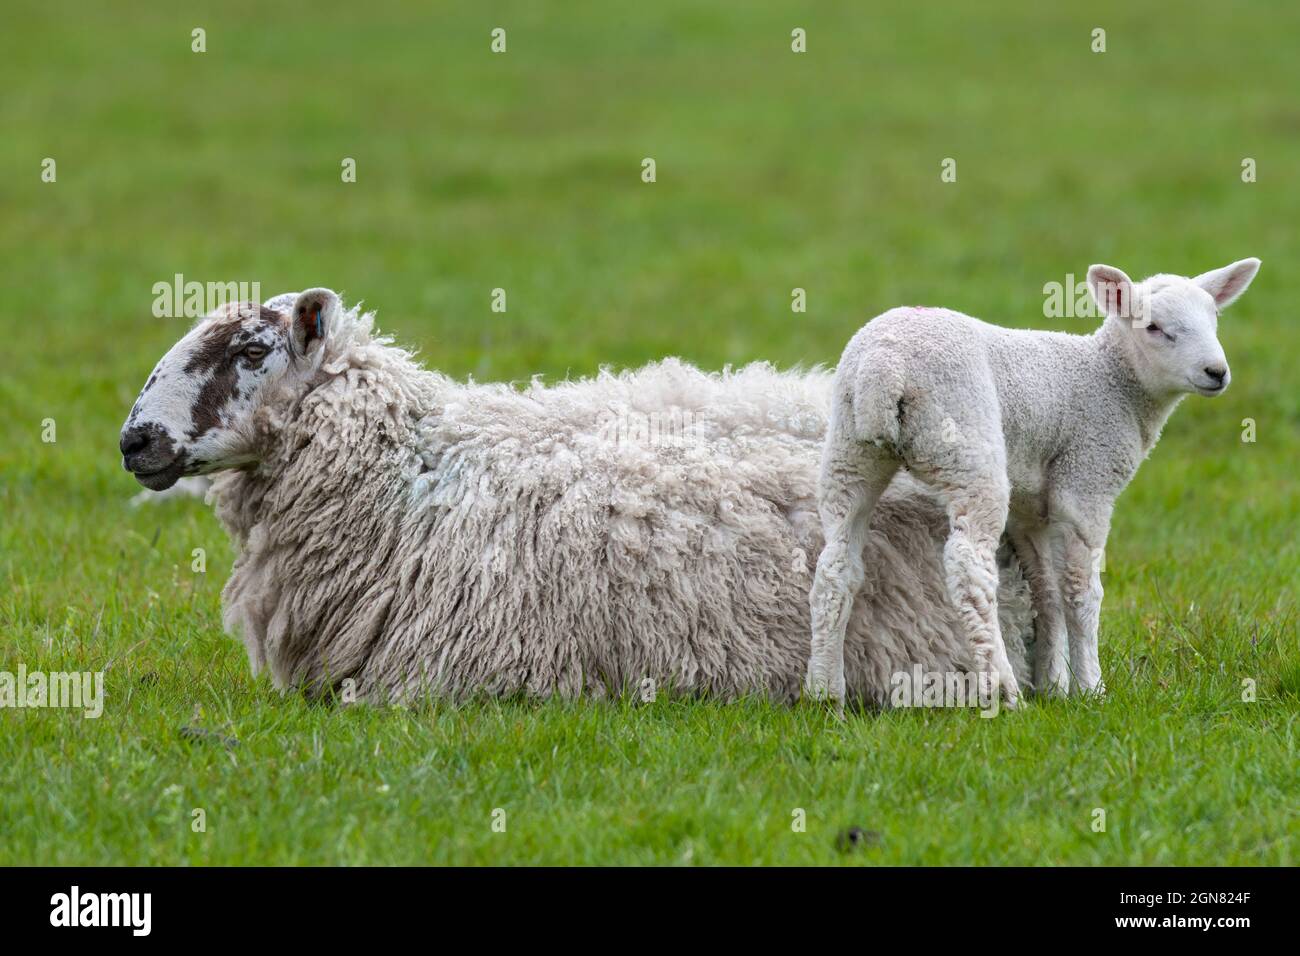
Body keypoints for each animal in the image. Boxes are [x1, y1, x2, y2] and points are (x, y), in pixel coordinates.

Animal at [806, 257, 1263, 707]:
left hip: (849, 452)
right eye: (1153, 327)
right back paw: (1002, 689)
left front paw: (1054, 687)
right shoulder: (1086, 481)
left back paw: (825, 692)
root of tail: (883, 366)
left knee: (835, 565)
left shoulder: (1032, 511)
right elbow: (1081, 593)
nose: (1216, 372)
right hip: (967, 445)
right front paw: (1091, 689)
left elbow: (1048, 594)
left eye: (1214, 319)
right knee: (969, 567)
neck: (1112, 382)